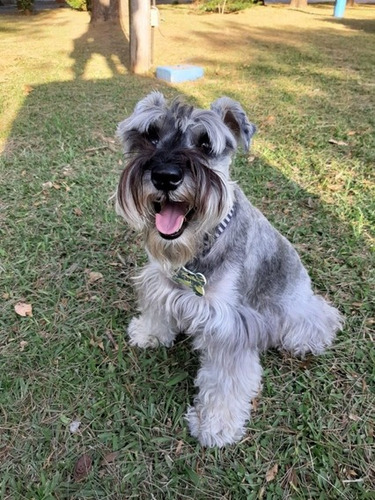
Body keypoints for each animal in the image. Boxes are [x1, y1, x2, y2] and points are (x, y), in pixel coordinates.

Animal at [116, 92, 346, 448]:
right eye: (150, 135)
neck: (199, 246)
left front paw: (215, 424)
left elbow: (225, 380)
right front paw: (150, 332)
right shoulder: (161, 282)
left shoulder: (231, 327)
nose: (165, 176)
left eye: (205, 143)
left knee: (322, 318)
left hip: (295, 307)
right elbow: (157, 306)